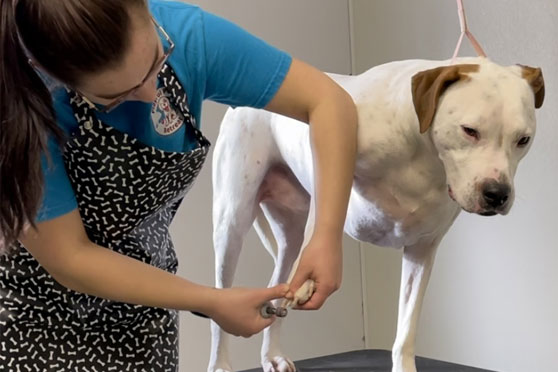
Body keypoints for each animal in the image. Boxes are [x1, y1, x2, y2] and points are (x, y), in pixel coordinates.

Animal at [208, 57, 544, 372]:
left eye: (523, 140)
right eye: (469, 131)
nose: (497, 193)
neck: (423, 152)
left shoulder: (422, 252)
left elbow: (407, 329)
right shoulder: (331, 157)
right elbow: (323, 213)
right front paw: (310, 280)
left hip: (288, 237)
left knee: (278, 287)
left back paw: (272, 355)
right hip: (231, 224)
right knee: (222, 299)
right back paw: (221, 363)